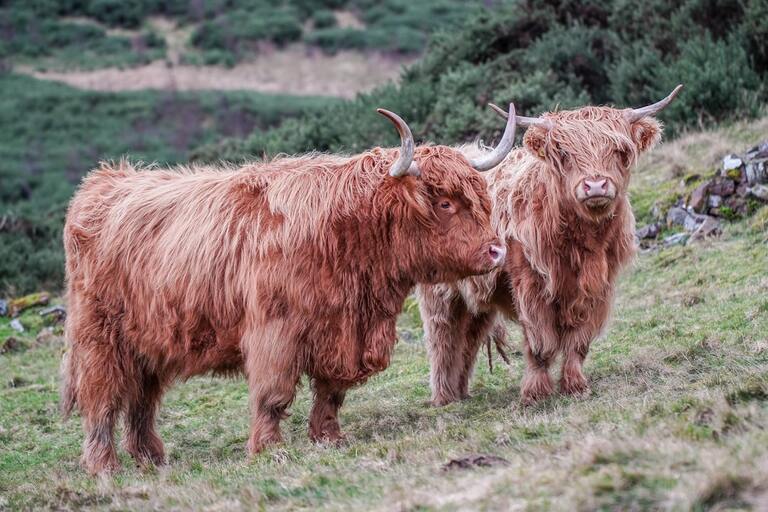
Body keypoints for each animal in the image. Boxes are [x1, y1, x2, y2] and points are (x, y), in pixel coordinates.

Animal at [60, 107, 517, 474]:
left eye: (481, 198)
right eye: (444, 203)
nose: (497, 250)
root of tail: (105, 181)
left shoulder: (340, 333)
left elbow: (332, 392)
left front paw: (329, 438)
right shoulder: (274, 332)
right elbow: (273, 395)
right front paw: (268, 449)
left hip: (147, 342)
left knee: (142, 400)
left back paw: (152, 458)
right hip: (100, 338)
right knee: (102, 400)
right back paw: (104, 466)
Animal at [417, 86, 683, 406]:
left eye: (620, 151)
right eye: (564, 153)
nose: (595, 186)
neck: (583, 244)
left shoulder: (598, 287)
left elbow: (579, 341)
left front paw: (575, 385)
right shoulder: (530, 284)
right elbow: (540, 343)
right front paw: (536, 392)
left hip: (476, 296)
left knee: (468, 338)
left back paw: (461, 392)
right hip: (440, 292)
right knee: (442, 338)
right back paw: (444, 397)